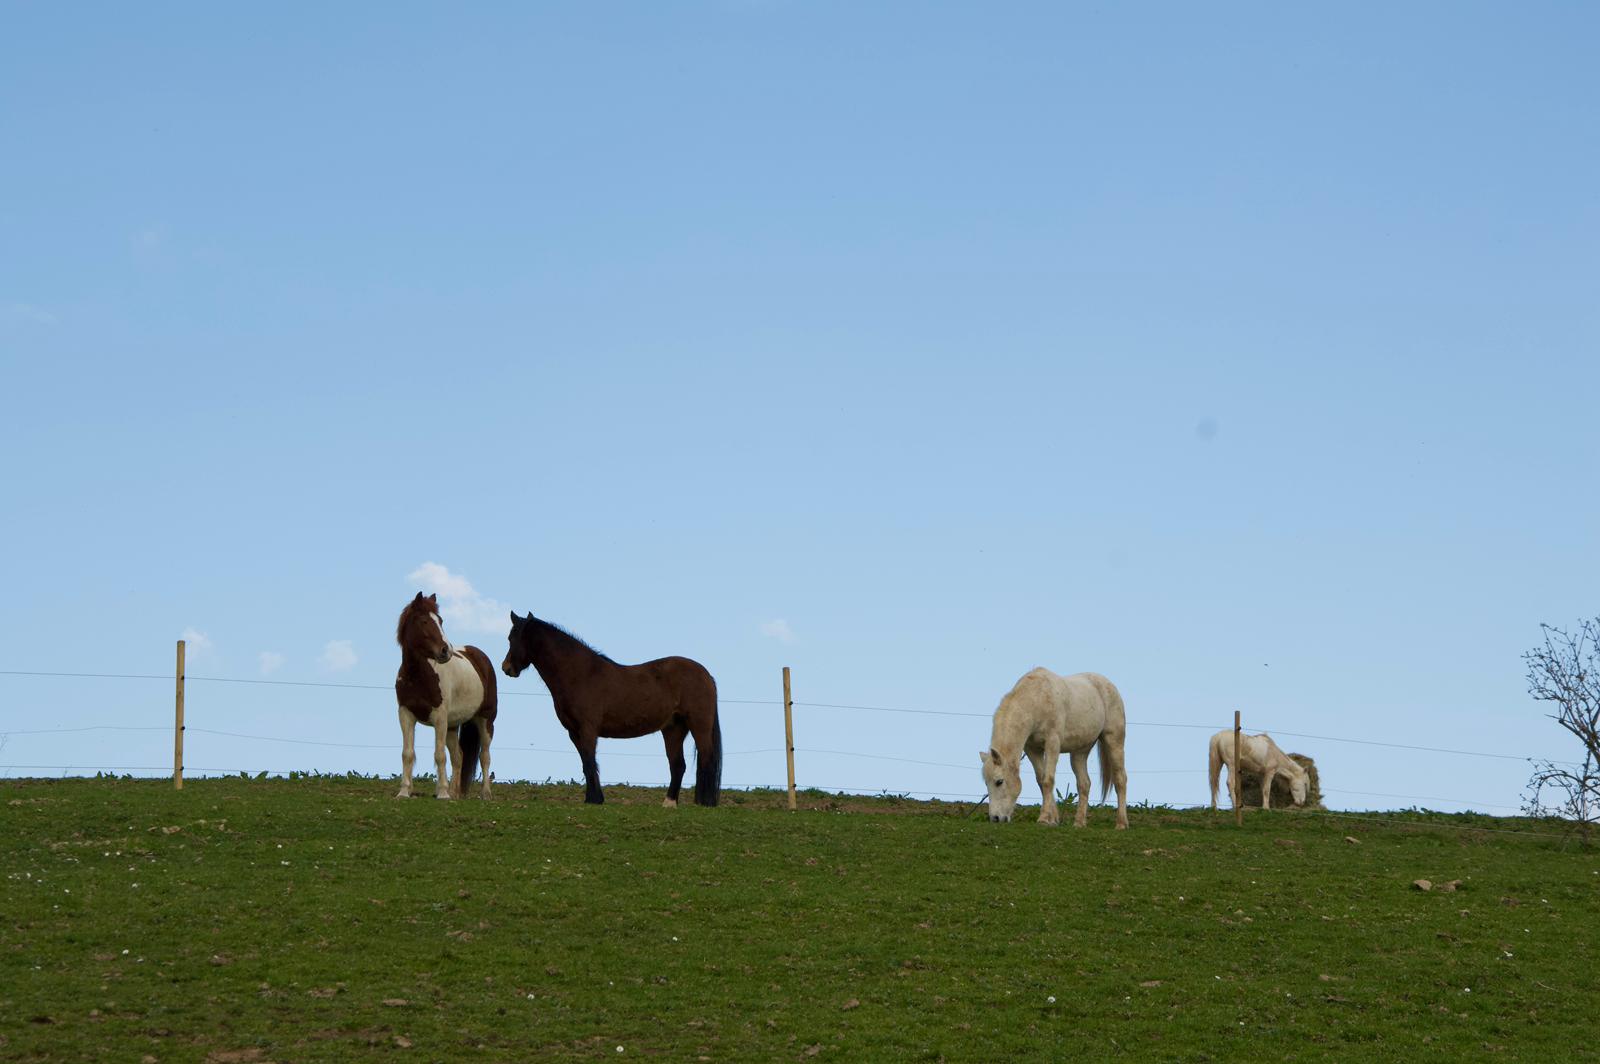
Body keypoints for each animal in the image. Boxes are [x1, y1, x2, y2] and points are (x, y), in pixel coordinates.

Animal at [394, 592, 499, 800]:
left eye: (440, 621)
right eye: (424, 621)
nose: (446, 651)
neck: (418, 676)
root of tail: (480, 657)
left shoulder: (439, 717)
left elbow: (439, 755)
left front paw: (442, 793)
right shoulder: (406, 714)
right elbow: (407, 754)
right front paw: (404, 791)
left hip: (485, 720)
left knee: (484, 756)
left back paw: (485, 794)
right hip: (452, 725)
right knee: (458, 756)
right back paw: (455, 793)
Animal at [501, 611, 721, 807]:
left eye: (513, 637)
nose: (506, 668)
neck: (580, 674)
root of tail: (705, 674)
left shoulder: (588, 730)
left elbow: (590, 762)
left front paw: (594, 799)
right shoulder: (574, 732)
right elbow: (585, 764)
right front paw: (594, 798)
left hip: (698, 726)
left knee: (707, 760)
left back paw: (707, 803)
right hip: (673, 729)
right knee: (678, 765)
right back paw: (669, 803)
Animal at [979, 668, 1129, 828]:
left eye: (999, 781)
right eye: (986, 783)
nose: (995, 818)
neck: (1036, 699)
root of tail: (1108, 685)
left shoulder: (1052, 743)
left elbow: (1048, 780)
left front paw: (1044, 818)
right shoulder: (1032, 749)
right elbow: (1041, 780)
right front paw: (1052, 819)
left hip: (1114, 741)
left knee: (1120, 779)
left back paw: (1121, 823)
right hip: (1080, 752)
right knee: (1084, 784)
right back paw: (1079, 823)